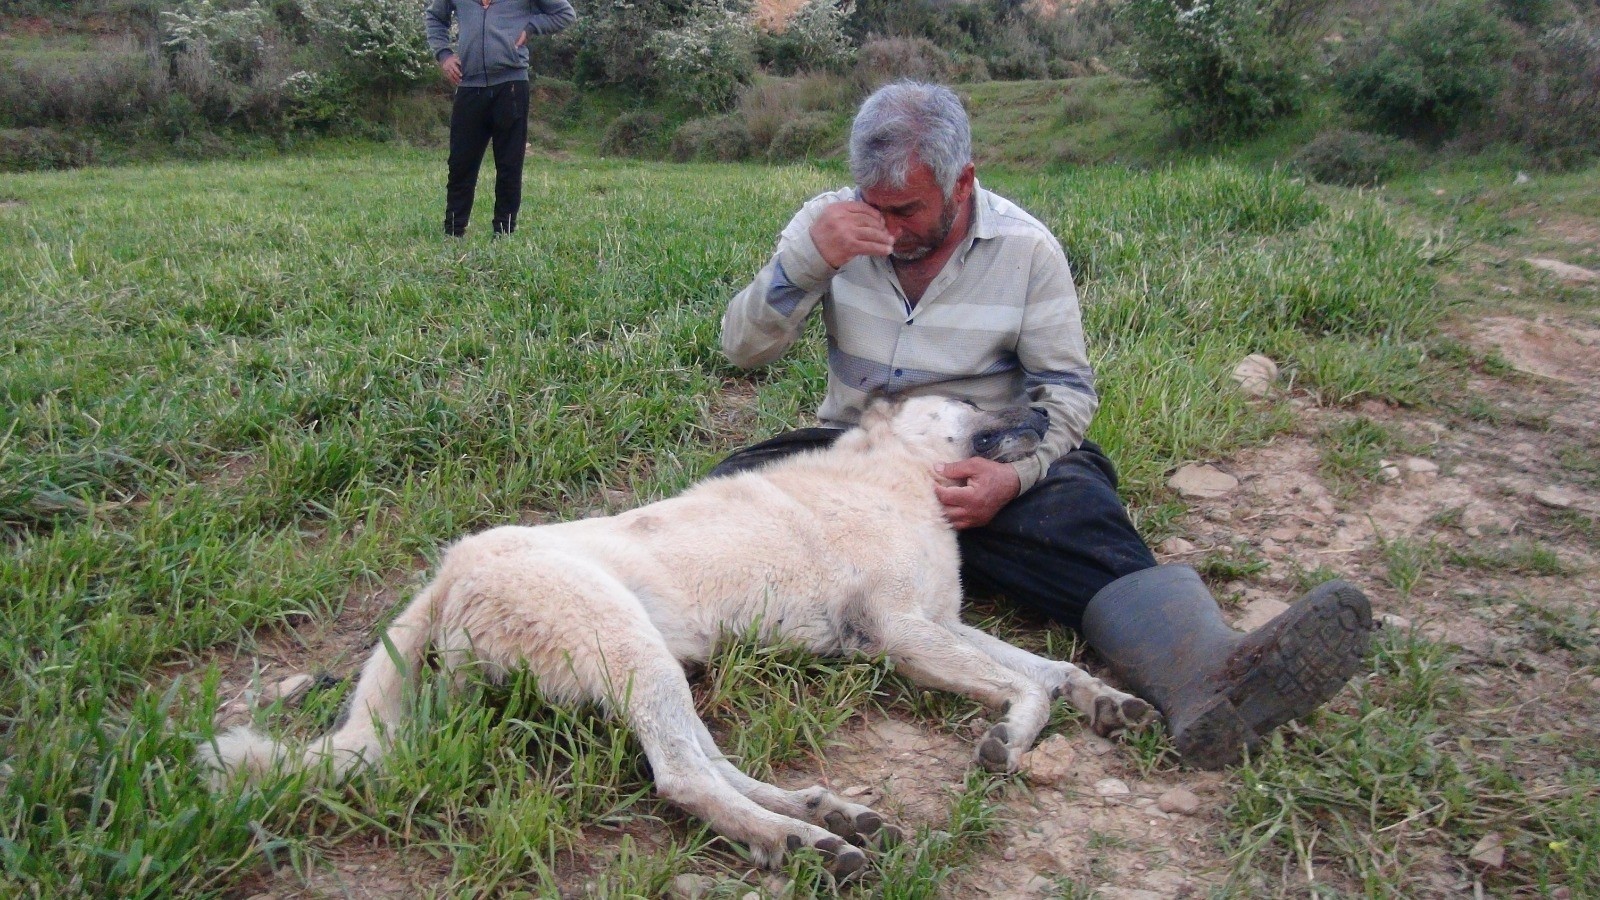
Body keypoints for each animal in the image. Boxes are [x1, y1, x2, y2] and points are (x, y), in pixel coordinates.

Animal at [200, 395, 1158, 871]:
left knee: (706, 761)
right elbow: (1030, 685)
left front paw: (1109, 702)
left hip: (656, 670)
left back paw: (822, 812)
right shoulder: (906, 637)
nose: (1044, 406)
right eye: (967, 399)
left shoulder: (941, 626)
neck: (897, 475)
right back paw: (804, 844)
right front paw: (1011, 740)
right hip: (635, 656)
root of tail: (451, 567)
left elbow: (1050, 667)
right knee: (681, 779)